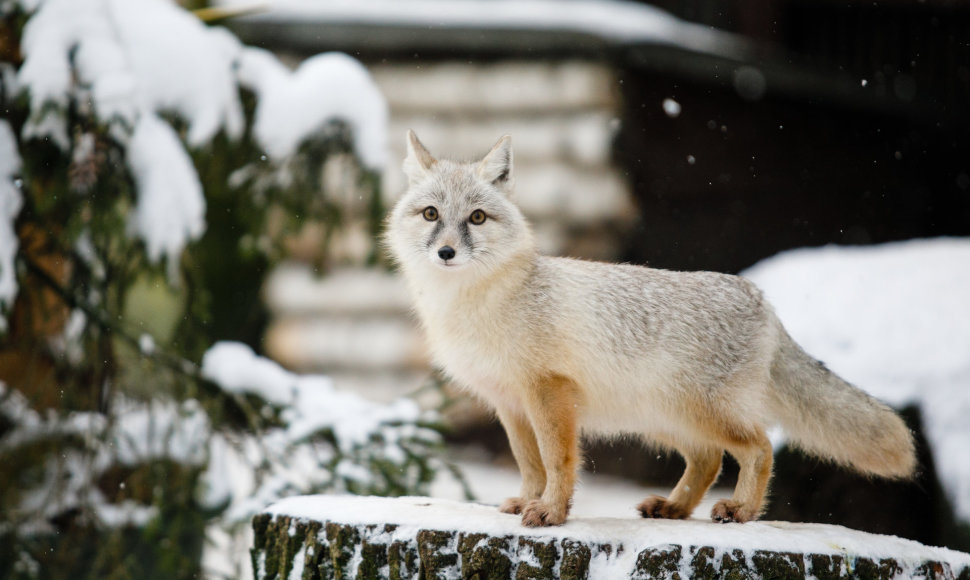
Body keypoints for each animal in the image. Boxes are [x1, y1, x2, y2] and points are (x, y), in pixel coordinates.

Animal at [384, 130, 916, 524]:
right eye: (431, 214)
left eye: (476, 217)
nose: (446, 252)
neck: (476, 306)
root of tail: (759, 296)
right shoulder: (510, 403)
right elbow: (530, 463)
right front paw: (528, 501)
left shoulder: (549, 392)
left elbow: (558, 462)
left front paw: (551, 511)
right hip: (667, 420)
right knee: (708, 460)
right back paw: (675, 507)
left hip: (701, 414)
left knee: (760, 448)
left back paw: (742, 510)